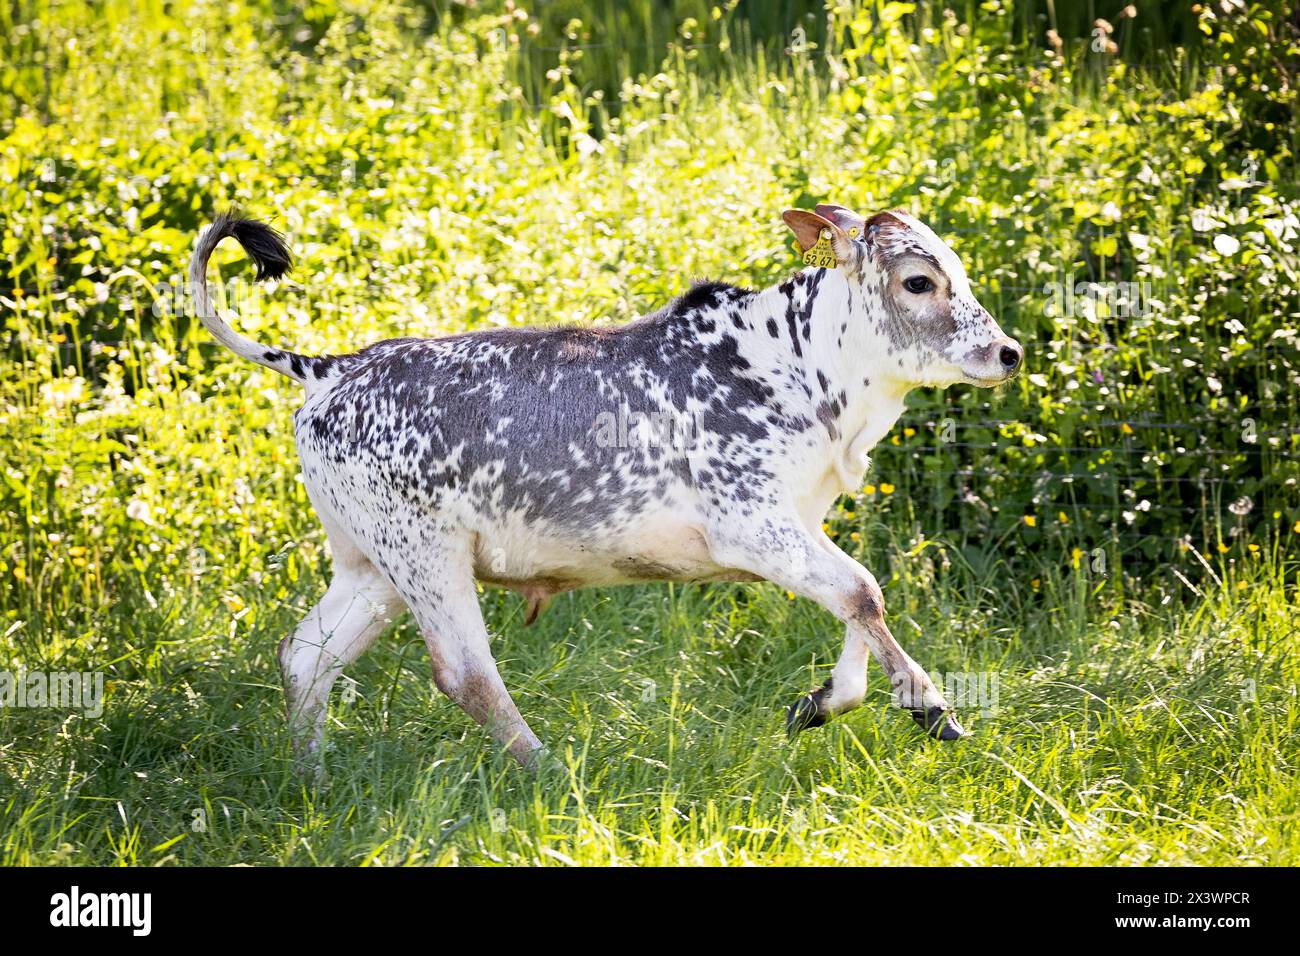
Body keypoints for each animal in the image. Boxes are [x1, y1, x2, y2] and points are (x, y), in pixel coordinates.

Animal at [189, 204, 1024, 770]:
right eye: (919, 281)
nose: (1008, 352)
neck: (796, 366)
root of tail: (331, 368)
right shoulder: (752, 527)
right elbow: (862, 591)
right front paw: (929, 705)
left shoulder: (798, 527)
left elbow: (856, 600)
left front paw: (821, 704)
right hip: (427, 557)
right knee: (465, 675)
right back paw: (547, 768)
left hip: (372, 567)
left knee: (306, 656)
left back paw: (313, 775)